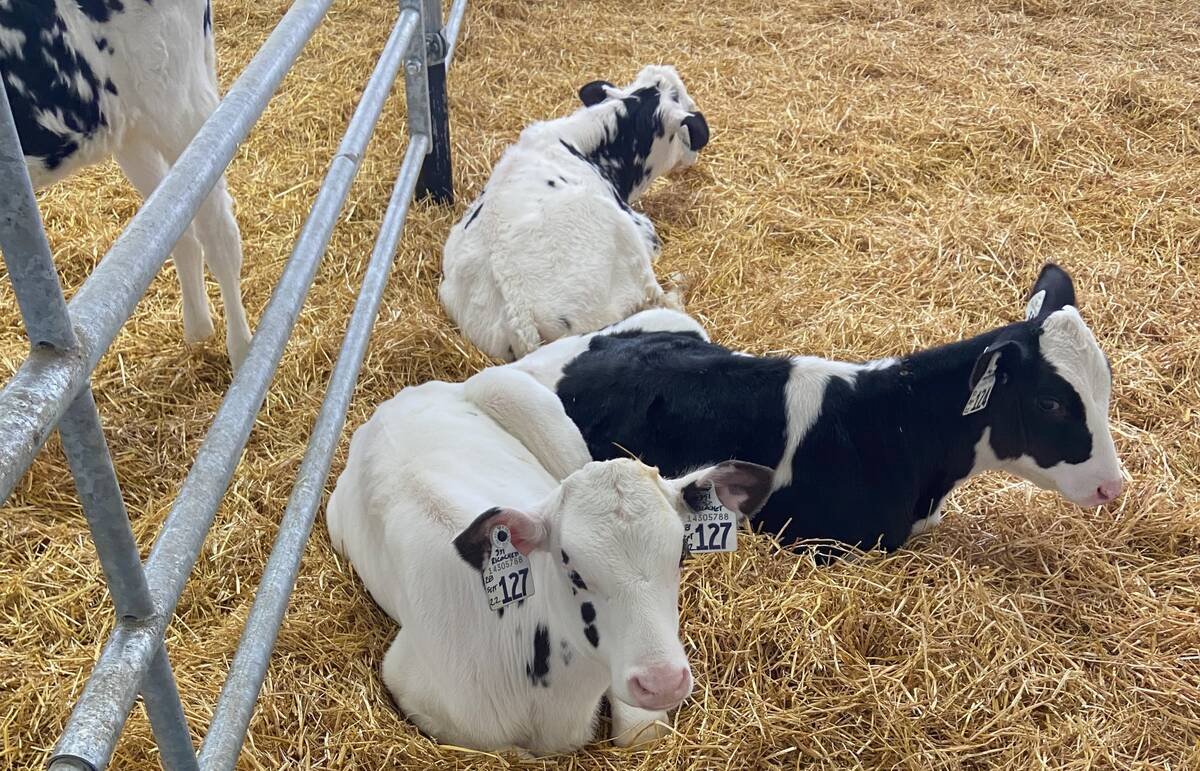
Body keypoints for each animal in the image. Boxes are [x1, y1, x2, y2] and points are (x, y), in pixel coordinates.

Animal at [0, 0, 252, 368]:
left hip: (180, 102)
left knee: (220, 232)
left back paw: (243, 351)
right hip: (130, 126)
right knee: (177, 224)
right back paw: (199, 332)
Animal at [326, 366, 773, 753]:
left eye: (681, 553)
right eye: (571, 568)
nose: (661, 681)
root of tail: (396, 402)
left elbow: (643, 733)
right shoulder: (410, 683)